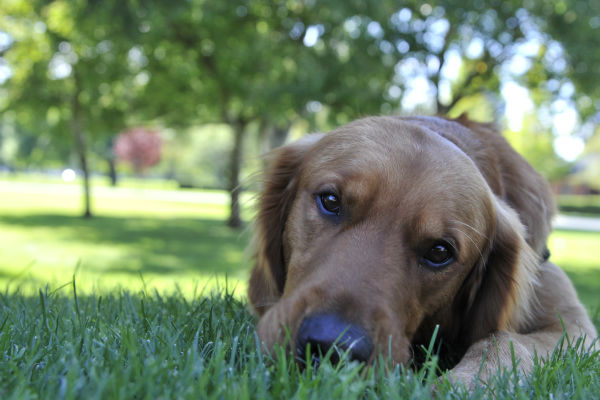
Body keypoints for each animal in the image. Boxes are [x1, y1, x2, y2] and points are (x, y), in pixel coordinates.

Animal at [247, 115, 596, 388]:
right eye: (330, 201)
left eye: (440, 251)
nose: (331, 345)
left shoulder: (575, 327)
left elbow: (503, 340)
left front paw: (461, 383)